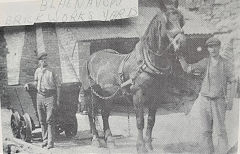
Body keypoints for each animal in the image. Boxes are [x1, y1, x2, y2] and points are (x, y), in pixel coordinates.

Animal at [79, 1, 186, 153]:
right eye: (167, 23)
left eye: (182, 21)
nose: (182, 43)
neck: (147, 62)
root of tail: (90, 57)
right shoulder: (138, 94)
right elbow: (140, 121)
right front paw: (140, 146)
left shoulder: (157, 95)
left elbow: (151, 120)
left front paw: (149, 145)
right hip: (90, 94)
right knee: (91, 114)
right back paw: (95, 140)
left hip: (108, 95)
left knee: (105, 114)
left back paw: (110, 140)